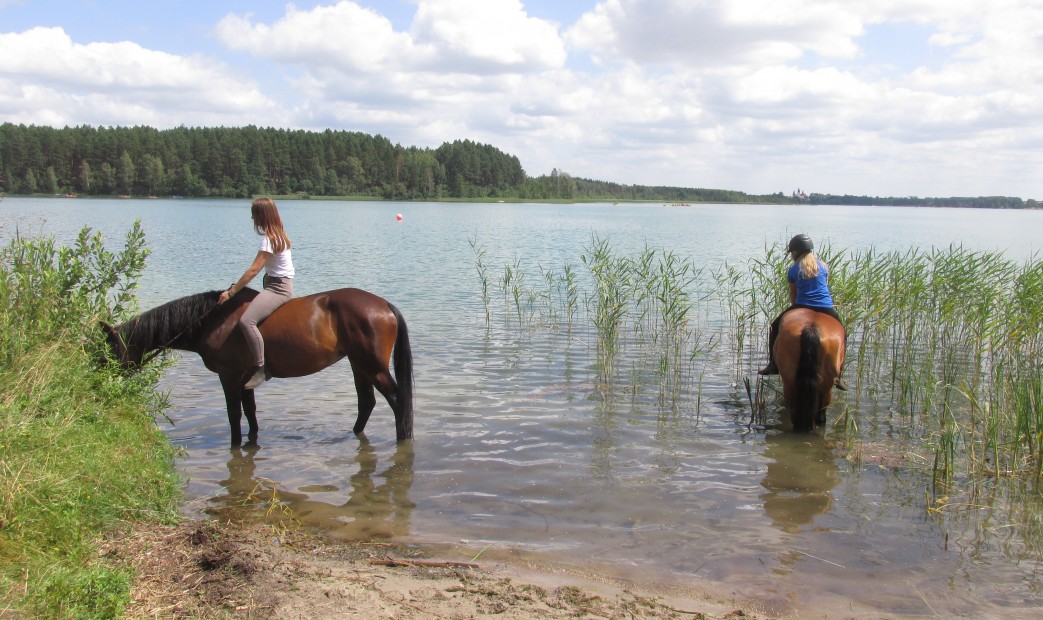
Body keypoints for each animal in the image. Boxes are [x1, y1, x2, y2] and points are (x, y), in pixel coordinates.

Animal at [99, 288, 413, 442]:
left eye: (107, 351)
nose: (98, 384)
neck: (211, 320)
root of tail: (383, 305)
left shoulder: (228, 376)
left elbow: (234, 416)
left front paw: (235, 443)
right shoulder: (244, 378)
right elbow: (250, 413)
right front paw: (250, 443)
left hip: (371, 366)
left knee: (397, 399)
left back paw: (403, 437)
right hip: (358, 364)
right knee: (367, 402)